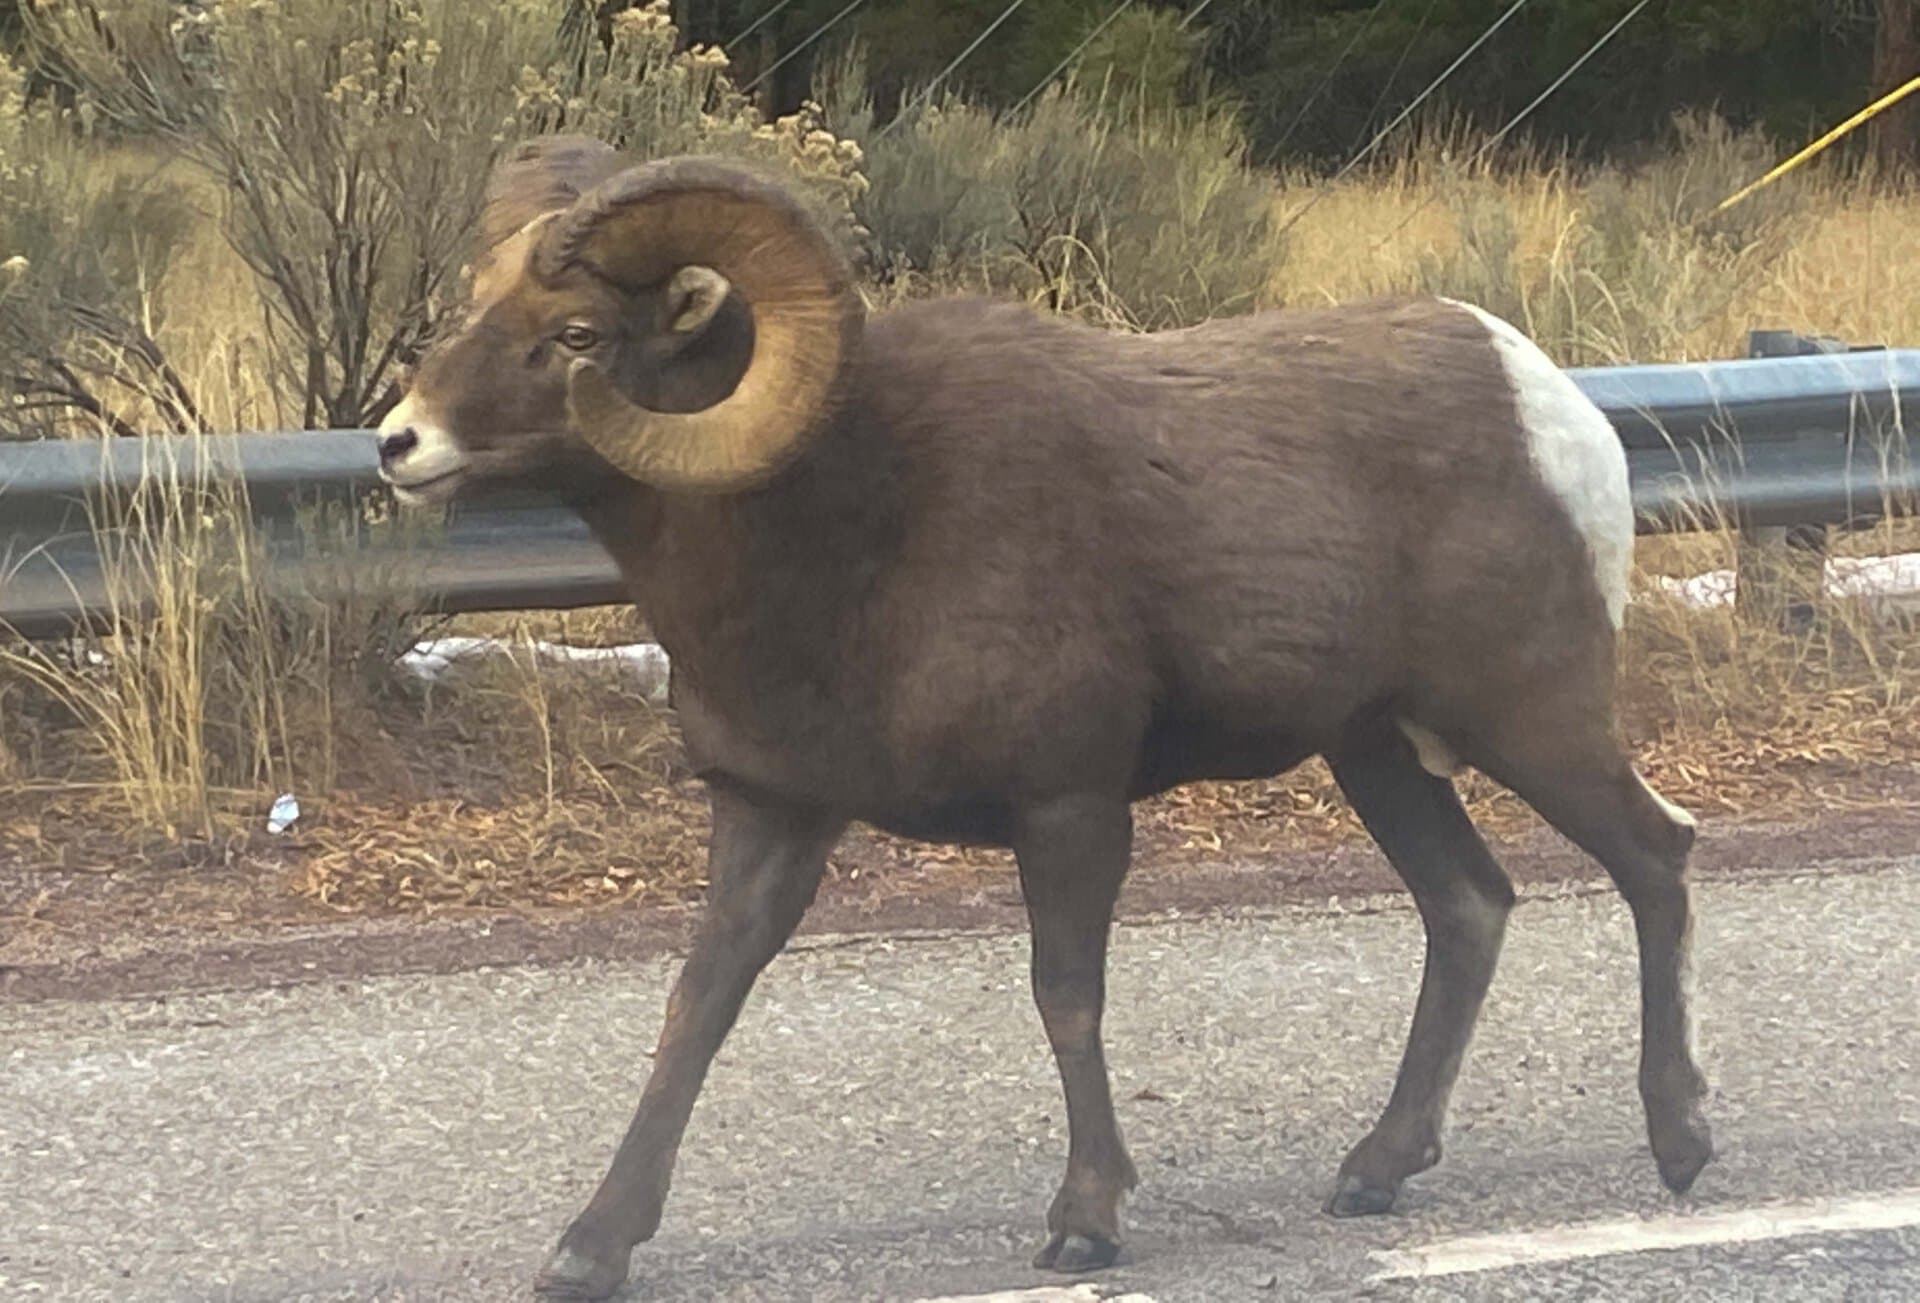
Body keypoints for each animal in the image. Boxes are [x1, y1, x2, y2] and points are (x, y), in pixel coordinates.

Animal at [378, 136, 1713, 1300]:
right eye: (481, 304)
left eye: (578, 335)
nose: (398, 443)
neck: (844, 534)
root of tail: (1555, 407)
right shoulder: (773, 815)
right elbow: (695, 1009)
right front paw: (589, 1248)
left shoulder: (1067, 805)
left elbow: (1065, 995)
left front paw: (1085, 1224)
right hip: (1379, 752)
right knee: (1469, 907)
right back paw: (1374, 1173)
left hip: (1529, 720)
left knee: (1655, 858)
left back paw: (1682, 1142)